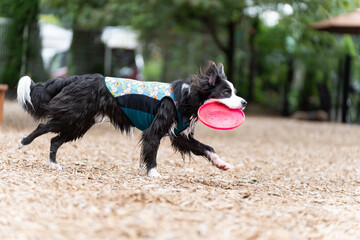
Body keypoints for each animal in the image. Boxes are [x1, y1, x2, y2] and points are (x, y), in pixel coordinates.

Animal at [17, 60, 248, 176]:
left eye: (234, 91)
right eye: (226, 92)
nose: (244, 102)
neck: (188, 96)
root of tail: (76, 78)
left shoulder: (180, 135)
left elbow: (207, 148)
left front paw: (222, 164)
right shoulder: (155, 129)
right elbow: (152, 150)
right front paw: (153, 174)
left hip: (79, 123)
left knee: (54, 139)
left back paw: (54, 165)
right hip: (72, 116)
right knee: (42, 127)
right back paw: (22, 142)